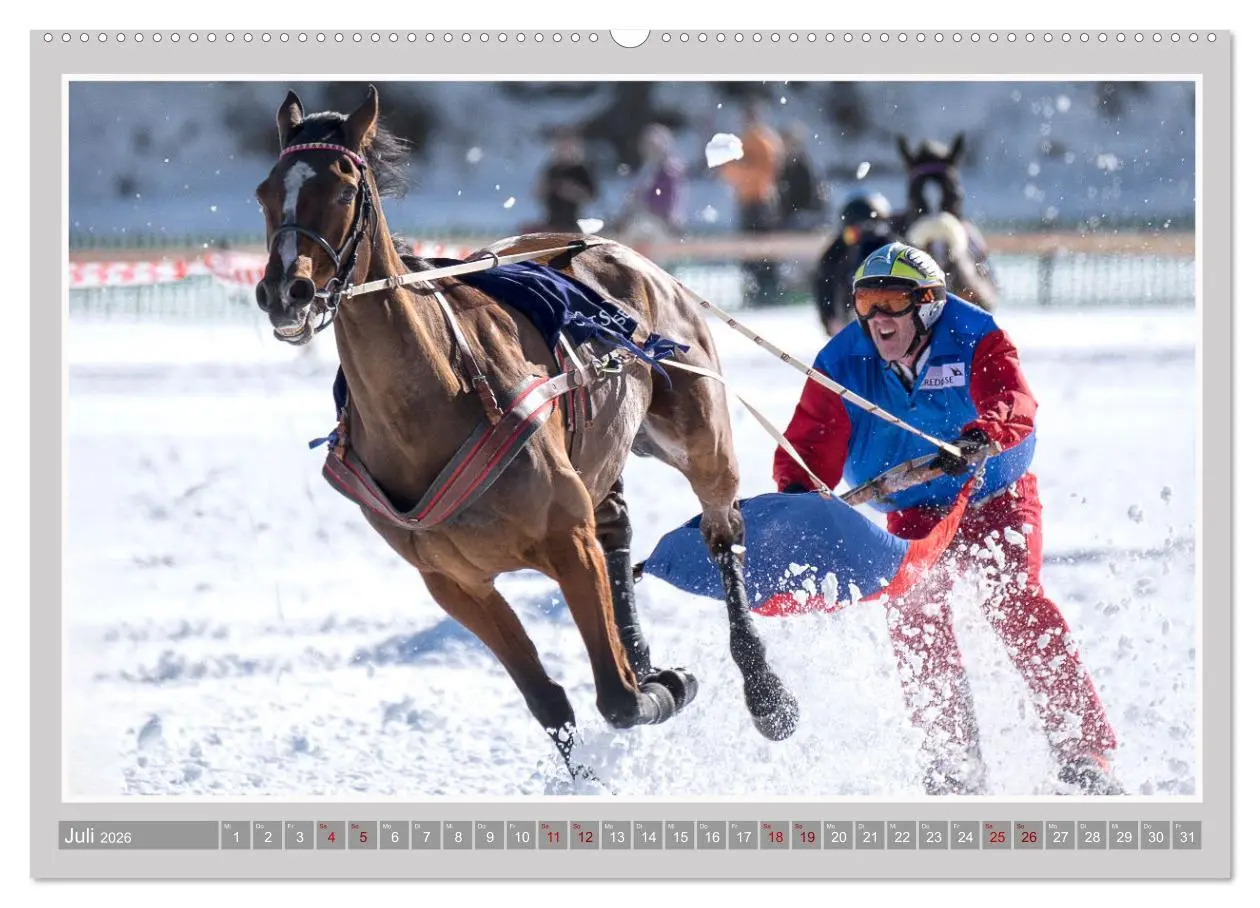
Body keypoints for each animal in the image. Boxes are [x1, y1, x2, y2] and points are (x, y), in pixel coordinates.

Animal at [251, 86, 800, 779]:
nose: (285, 292)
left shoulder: (565, 538)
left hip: (700, 432)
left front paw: (665, 687)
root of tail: (604, 246)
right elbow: (549, 703)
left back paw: (766, 691)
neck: (436, 397)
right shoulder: (454, 583)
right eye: (266, 191)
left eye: (346, 188)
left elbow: (619, 699)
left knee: (722, 531)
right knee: (616, 530)